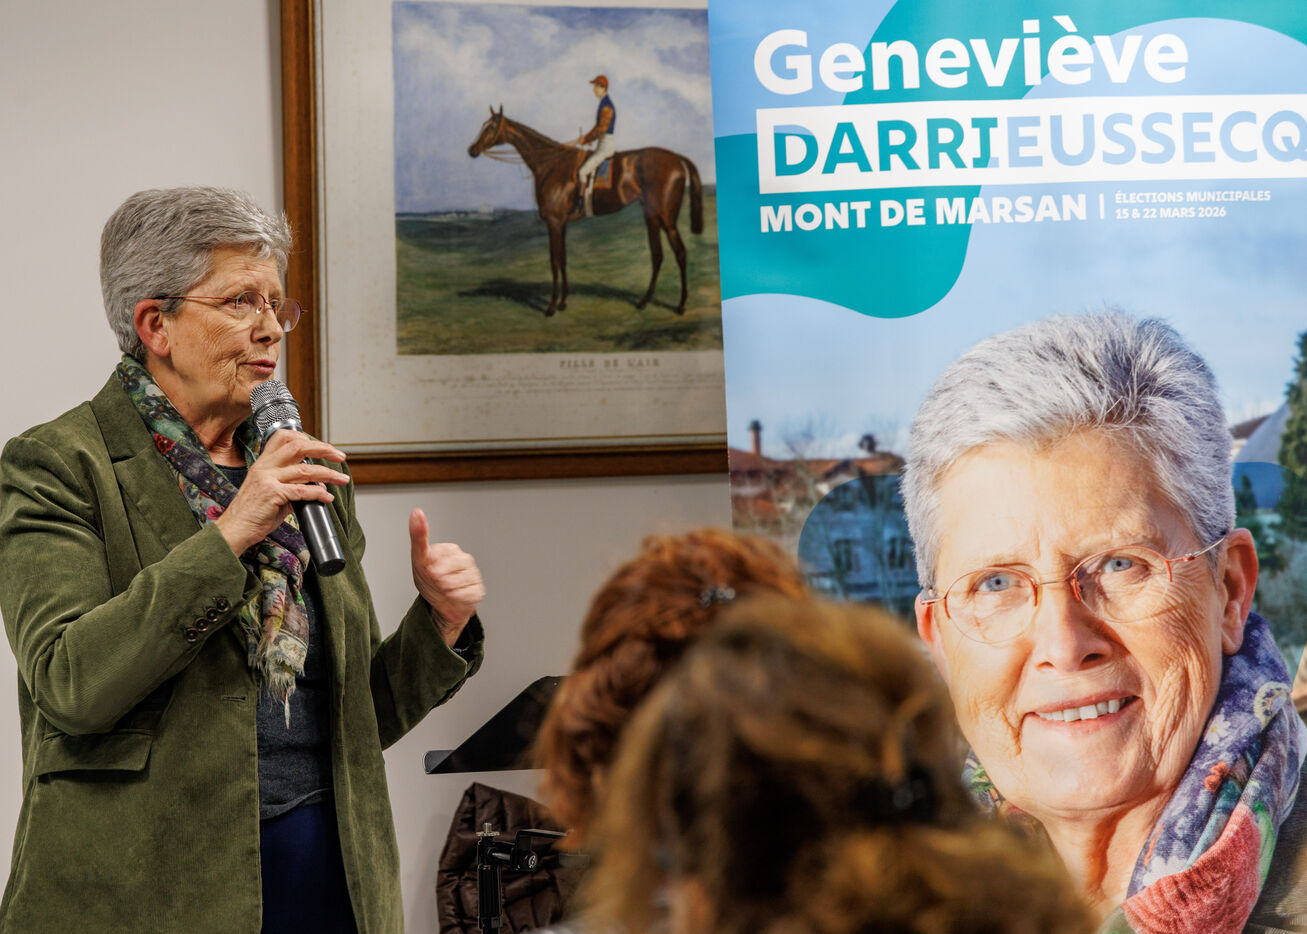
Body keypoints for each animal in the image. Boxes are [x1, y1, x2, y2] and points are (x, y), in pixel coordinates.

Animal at [467, 106, 703, 317]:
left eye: (491, 127)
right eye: (483, 125)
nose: (472, 150)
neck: (551, 164)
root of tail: (676, 157)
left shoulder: (554, 223)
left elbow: (554, 262)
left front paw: (551, 307)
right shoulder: (561, 224)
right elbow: (563, 260)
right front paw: (563, 303)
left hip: (667, 219)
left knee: (680, 253)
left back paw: (681, 305)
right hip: (652, 217)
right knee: (657, 255)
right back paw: (644, 302)